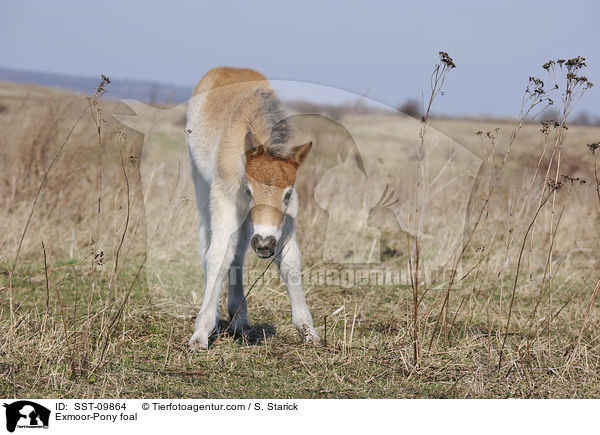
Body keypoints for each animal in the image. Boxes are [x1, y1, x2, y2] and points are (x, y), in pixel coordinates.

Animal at [186, 67, 318, 350]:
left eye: (287, 194)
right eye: (248, 191)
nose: (265, 244)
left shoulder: (285, 215)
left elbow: (290, 259)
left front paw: (308, 331)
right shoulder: (225, 198)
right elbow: (217, 256)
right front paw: (200, 333)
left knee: (238, 249)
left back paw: (239, 320)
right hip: (201, 182)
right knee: (208, 242)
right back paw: (216, 318)